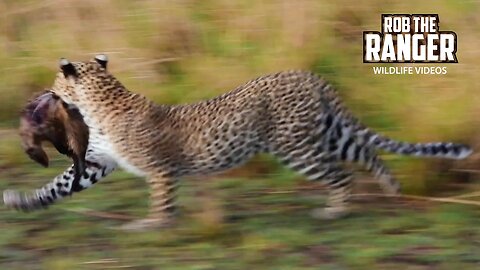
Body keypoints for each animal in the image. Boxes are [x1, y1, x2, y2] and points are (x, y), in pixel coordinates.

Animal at [1, 54, 470, 230]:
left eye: (57, 77)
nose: (45, 90)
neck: (98, 104)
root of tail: (307, 74)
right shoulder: (98, 163)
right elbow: (57, 186)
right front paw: (20, 201)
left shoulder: (160, 170)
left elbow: (162, 201)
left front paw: (153, 225)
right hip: (322, 133)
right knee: (367, 152)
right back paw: (391, 187)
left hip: (294, 146)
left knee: (341, 175)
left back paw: (335, 210)